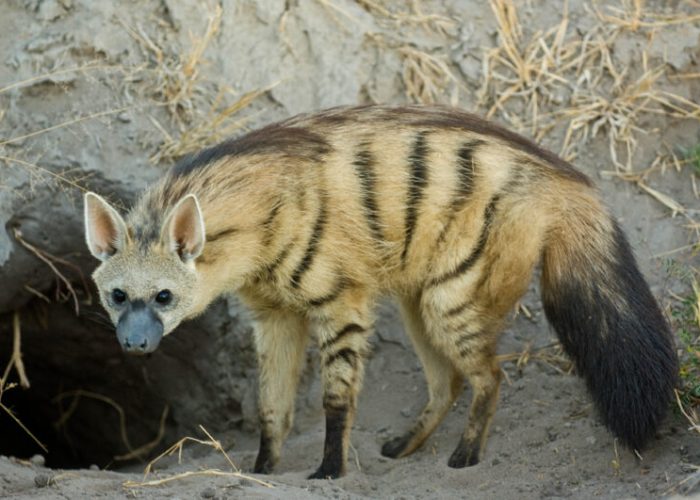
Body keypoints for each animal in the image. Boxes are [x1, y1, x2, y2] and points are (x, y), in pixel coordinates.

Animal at [84, 105, 678, 479]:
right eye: (118, 296)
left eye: (163, 296)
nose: (135, 344)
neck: (257, 226)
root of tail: (564, 181)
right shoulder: (273, 316)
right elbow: (272, 405)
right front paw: (263, 470)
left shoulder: (339, 300)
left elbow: (336, 399)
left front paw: (328, 472)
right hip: (420, 300)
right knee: (448, 382)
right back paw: (403, 447)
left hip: (452, 297)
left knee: (489, 375)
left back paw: (464, 457)